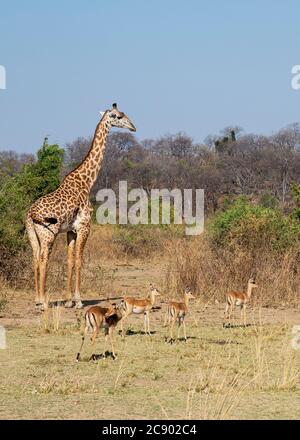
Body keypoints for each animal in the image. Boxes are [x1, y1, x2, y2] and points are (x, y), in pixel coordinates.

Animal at [25, 103, 136, 312]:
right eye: (118, 116)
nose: (133, 127)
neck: (87, 181)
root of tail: (30, 214)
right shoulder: (85, 226)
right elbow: (79, 260)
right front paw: (78, 300)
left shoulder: (71, 230)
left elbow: (69, 260)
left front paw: (68, 300)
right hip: (48, 233)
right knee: (43, 258)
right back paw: (43, 302)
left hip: (32, 234)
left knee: (35, 257)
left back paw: (36, 300)